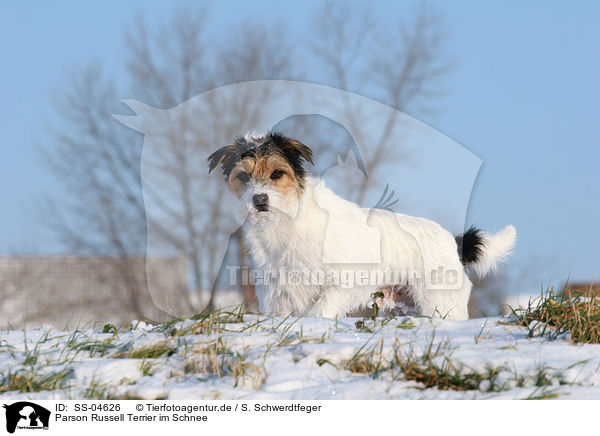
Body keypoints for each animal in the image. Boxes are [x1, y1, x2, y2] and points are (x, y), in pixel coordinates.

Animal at [210, 131, 516, 318]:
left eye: (276, 173)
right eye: (244, 177)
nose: (259, 200)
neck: (287, 221)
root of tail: (452, 242)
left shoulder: (342, 284)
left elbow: (318, 311)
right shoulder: (277, 294)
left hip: (440, 302)